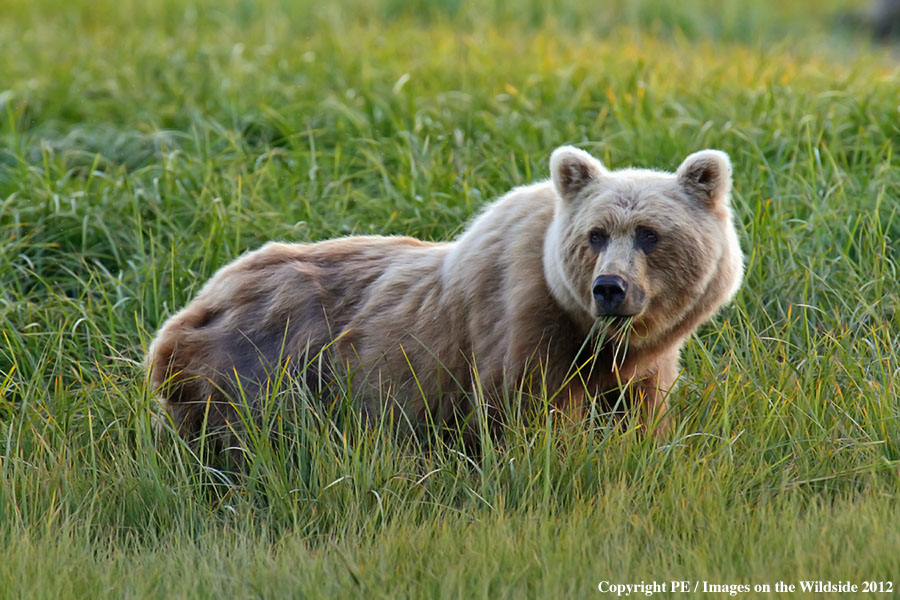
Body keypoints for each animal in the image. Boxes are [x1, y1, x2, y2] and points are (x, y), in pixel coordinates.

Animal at [148, 145, 743, 449]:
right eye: (596, 234)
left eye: (649, 233)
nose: (609, 287)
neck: (589, 333)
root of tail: (191, 306)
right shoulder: (520, 327)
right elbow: (527, 413)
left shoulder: (639, 368)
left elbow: (642, 418)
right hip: (254, 367)